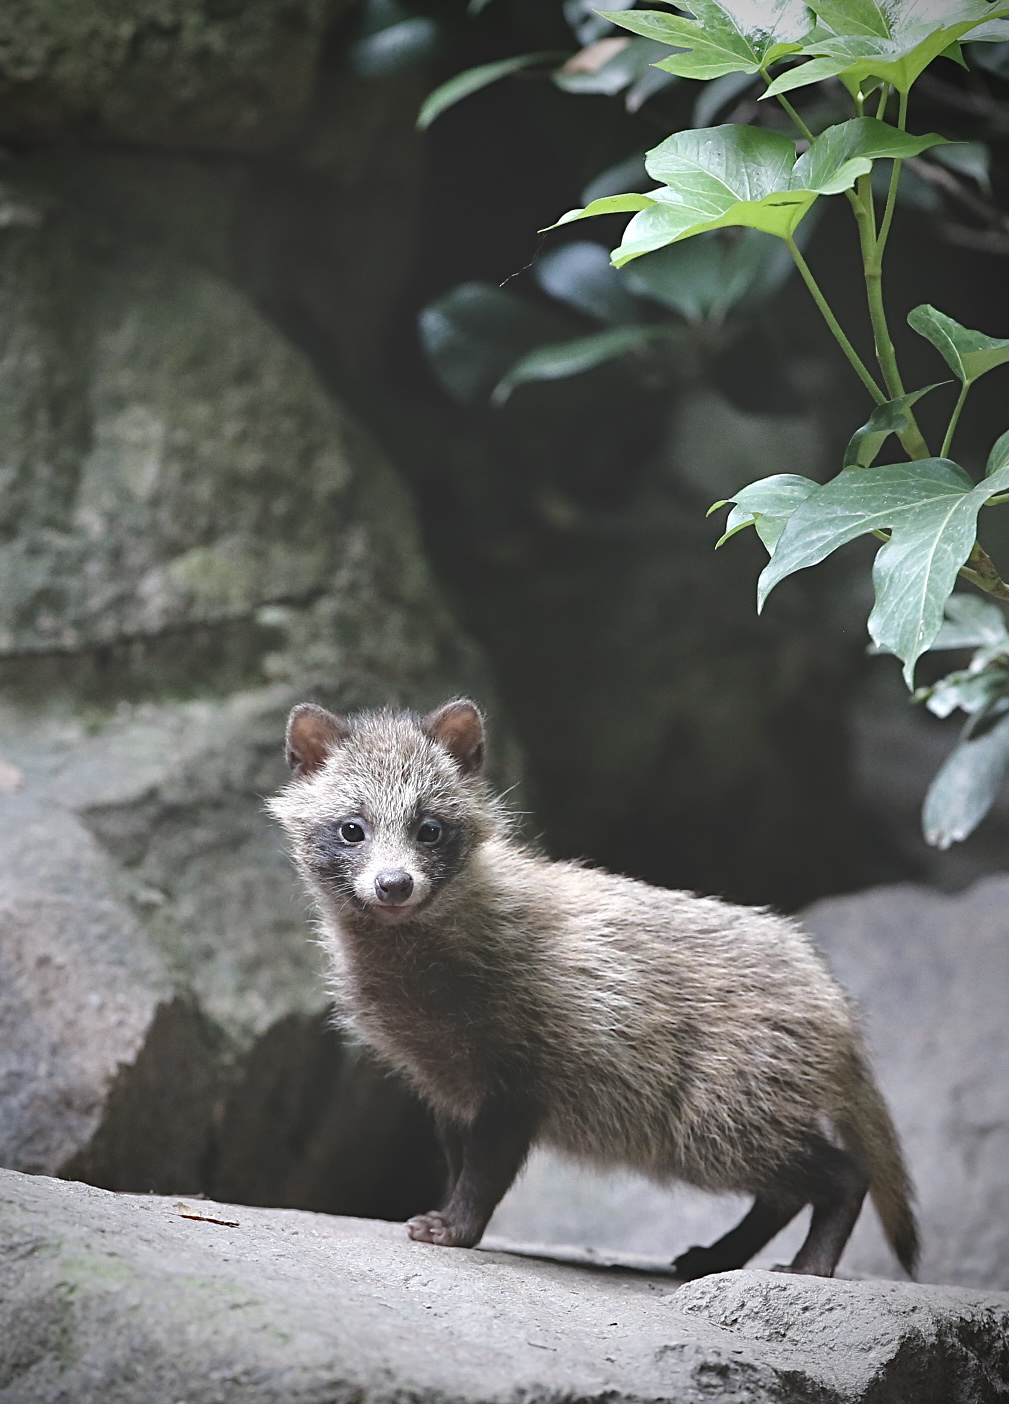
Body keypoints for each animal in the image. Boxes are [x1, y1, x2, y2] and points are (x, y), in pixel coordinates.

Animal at [270, 696, 926, 1280]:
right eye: (351, 829)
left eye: (429, 828)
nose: (394, 884)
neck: (426, 999)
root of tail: (839, 1006)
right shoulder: (450, 1089)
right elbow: (459, 1167)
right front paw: (446, 1218)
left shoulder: (519, 1081)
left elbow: (485, 1176)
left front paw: (453, 1229)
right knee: (784, 1195)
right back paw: (712, 1257)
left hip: (721, 1120)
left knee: (844, 1174)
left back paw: (808, 1266)